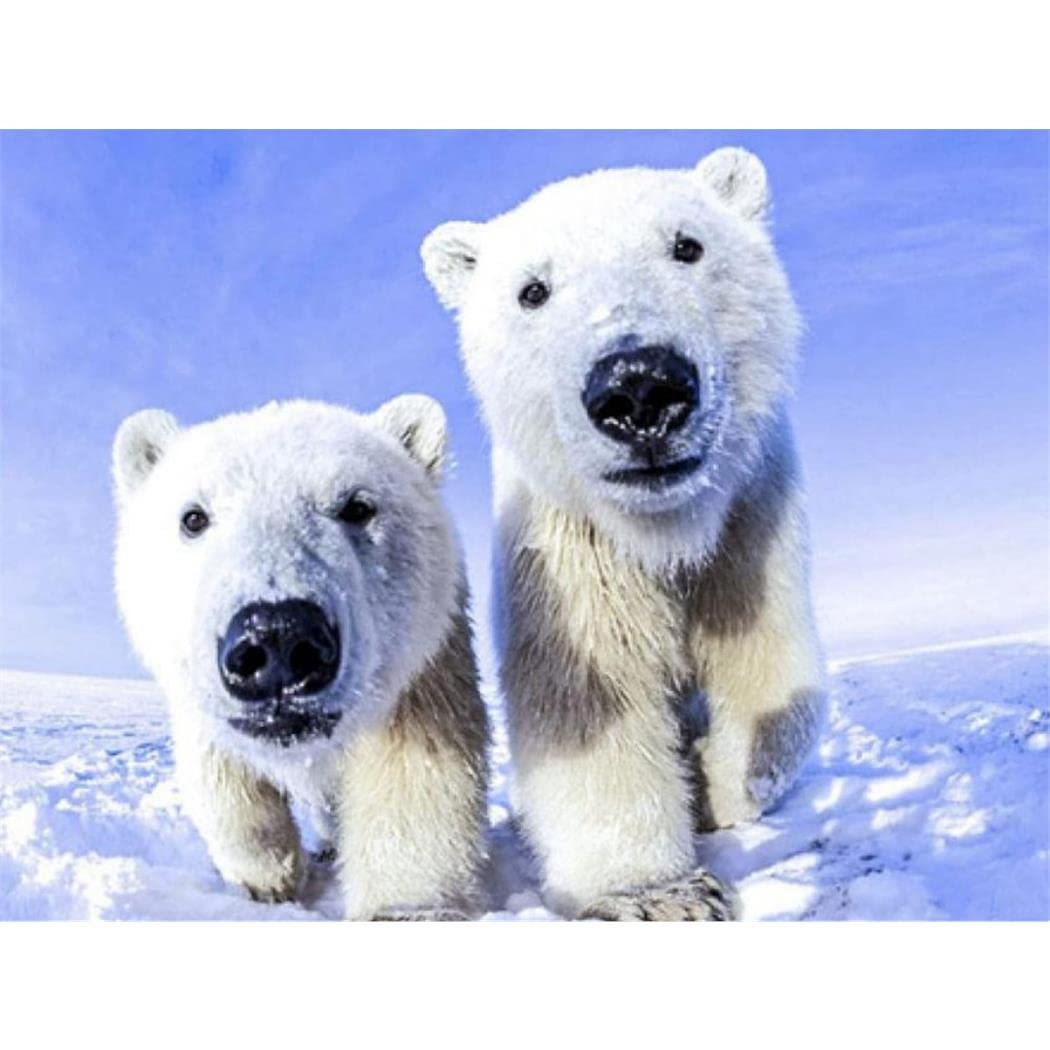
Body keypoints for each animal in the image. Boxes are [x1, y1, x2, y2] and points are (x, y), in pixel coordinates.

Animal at [112, 396, 489, 920]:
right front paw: (267, 879)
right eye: (193, 517)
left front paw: (403, 906)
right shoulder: (198, 696)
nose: (277, 638)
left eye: (357, 506)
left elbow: (415, 776)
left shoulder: (426, 665)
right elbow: (222, 777)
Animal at [421, 147, 824, 921]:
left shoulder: (749, 528)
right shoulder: (572, 554)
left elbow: (772, 675)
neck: (667, 532)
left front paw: (712, 783)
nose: (639, 387)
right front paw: (661, 894)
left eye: (688, 246)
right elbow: (590, 703)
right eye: (533, 290)